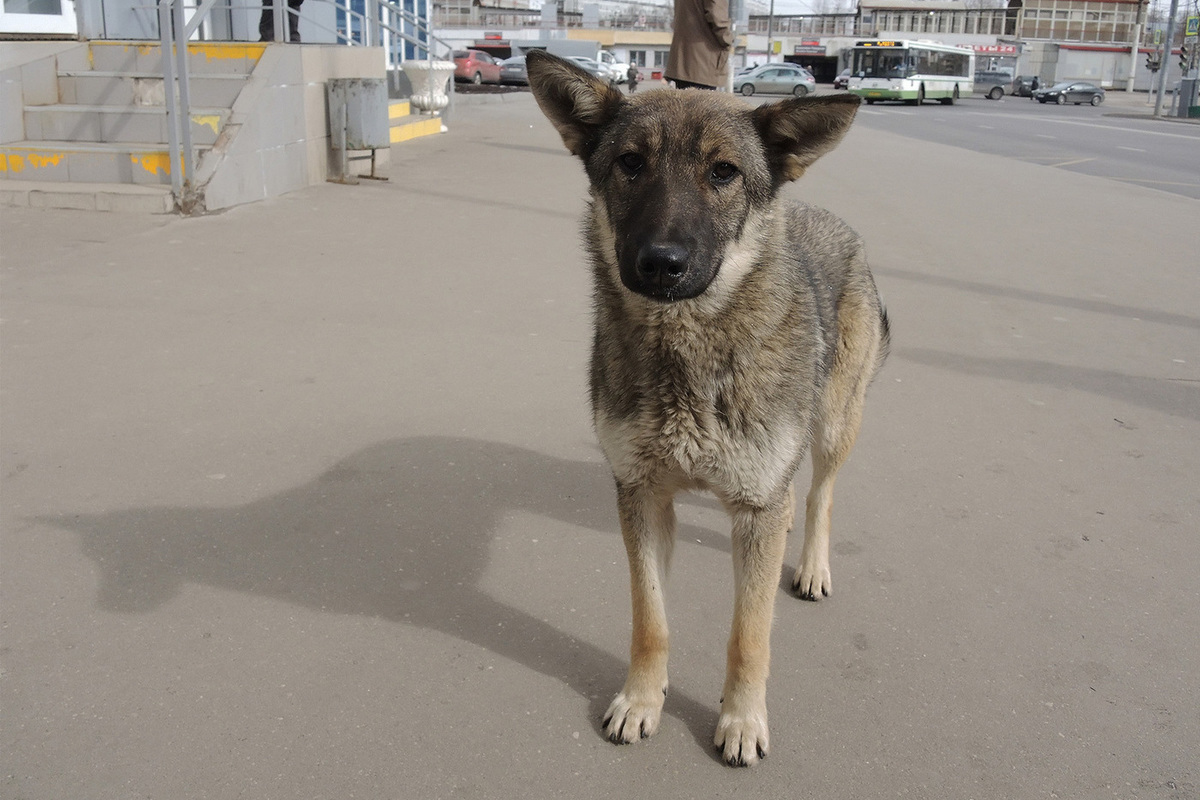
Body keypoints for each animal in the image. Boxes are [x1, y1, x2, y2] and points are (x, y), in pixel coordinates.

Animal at [528, 53, 892, 767]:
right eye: (630, 163)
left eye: (723, 172)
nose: (660, 265)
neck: (687, 355)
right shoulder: (641, 498)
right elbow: (650, 621)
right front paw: (642, 701)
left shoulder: (755, 511)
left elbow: (749, 635)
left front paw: (742, 722)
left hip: (835, 427)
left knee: (819, 494)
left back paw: (813, 565)